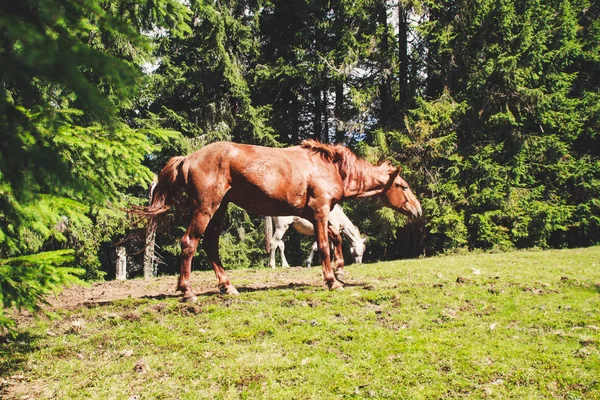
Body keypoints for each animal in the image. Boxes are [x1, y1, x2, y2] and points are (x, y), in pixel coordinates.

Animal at [141, 140, 422, 300]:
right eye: (403, 185)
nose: (418, 210)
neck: (332, 168)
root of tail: (187, 158)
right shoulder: (320, 213)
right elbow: (324, 247)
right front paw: (332, 280)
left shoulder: (316, 217)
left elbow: (330, 243)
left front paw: (337, 272)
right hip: (205, 209)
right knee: (189, 242)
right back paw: (187, 290)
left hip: (219, 210)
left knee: (211, 246)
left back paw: (227, 286)